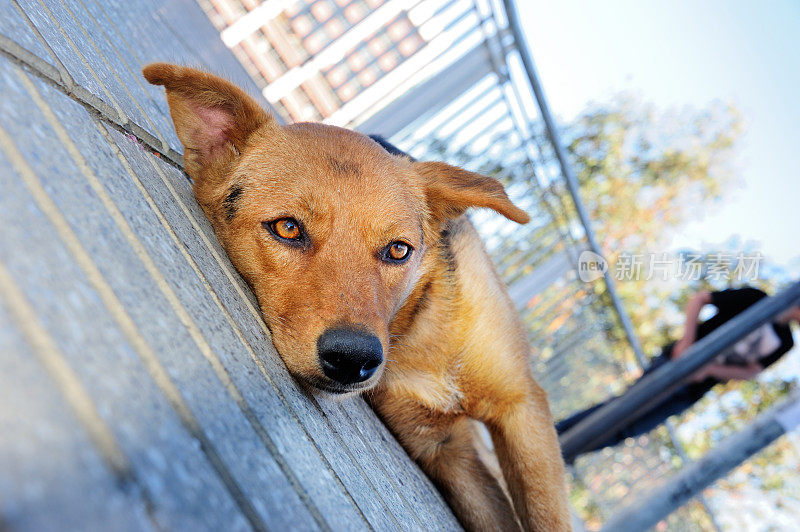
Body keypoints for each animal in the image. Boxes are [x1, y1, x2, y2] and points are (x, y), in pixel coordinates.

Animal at [142, 64, 568, 528]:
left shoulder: (521, 407)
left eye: (398, 250)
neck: (419, 328)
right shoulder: (444, 450)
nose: (352, 358)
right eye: (287, 228)